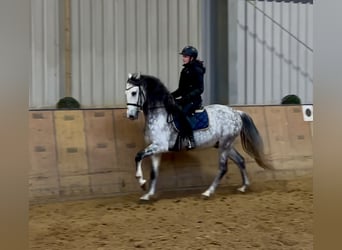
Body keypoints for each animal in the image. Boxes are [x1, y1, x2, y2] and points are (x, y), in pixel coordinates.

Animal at [125, 73, 272, 201]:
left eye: (134, 93)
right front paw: (147, 195)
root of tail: (236, 112)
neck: (160, 113)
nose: (130, 116)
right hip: (225, 145)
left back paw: (208, 192)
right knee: (240, 160)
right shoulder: (157, 149)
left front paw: (141, 181)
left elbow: (138, 156)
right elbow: (154, 173)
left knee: (223, 168)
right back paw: (243, 187)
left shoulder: (160, 146)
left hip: (225, 144)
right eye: (126, 93)